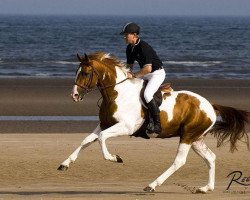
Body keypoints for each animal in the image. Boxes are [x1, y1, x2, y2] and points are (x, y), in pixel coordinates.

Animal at [57, 51, 250, 194]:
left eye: (85, 73)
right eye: (76, 72)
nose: (74, 95)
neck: (117, 93)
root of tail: (210, 105)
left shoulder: (125, 127)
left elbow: (102, 139)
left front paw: (115, 158)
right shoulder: (104, 124)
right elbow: (87, 140)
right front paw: (65, 164)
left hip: (188, 136)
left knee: (179, 161)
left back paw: (152, 185)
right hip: (196, 139)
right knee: (210, 157)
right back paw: (206, 188)